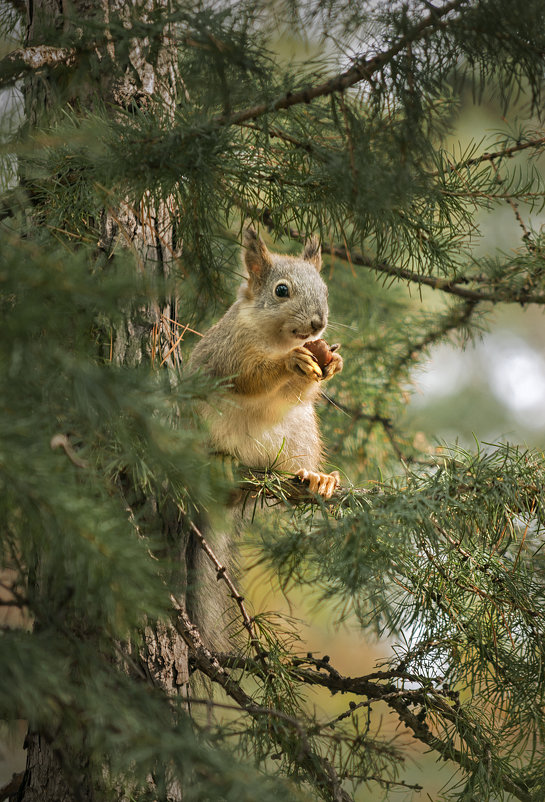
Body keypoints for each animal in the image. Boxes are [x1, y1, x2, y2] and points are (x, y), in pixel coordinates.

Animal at [185, 227, 342, 648]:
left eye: (325, 289)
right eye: (281, 291)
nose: (318, 324)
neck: (277, 339)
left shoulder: (298, 396)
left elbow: (301, 392)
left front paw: (332, 362)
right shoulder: (229, 353)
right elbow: (251, 377)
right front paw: (290, 363)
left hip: (300, 433)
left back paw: (315, 478)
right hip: (201, 420)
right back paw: (221, 463)